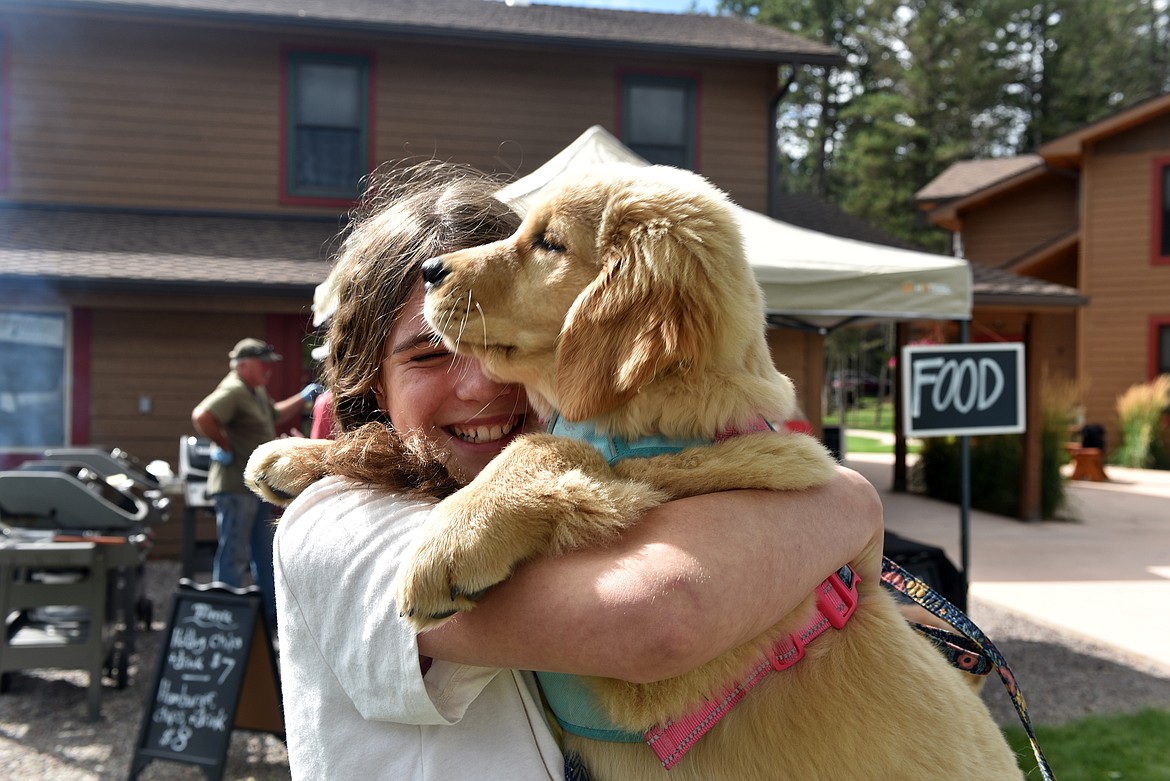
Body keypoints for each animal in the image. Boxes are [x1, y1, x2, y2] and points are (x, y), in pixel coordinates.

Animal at [386, 164, 1024, 781]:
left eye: (549, 243)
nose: (429, 269)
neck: (660, 421)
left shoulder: (663, 679)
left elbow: (552, 447)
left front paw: (456, 538)